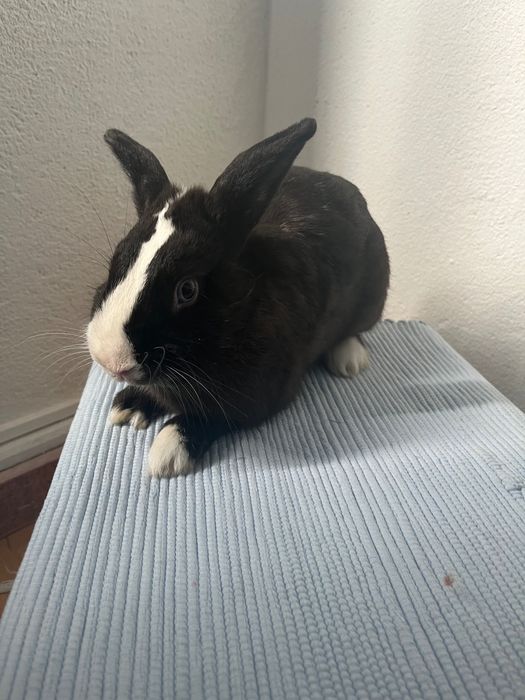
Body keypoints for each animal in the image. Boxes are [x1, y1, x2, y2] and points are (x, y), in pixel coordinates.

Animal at [86, 118, 389, 477]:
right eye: (116, 263)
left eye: (187, 290)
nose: (111, 360)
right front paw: (130, 405)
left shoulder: (262, 398)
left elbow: (216, 417)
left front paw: (169, 451)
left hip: (373, 298)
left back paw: (349, 360)